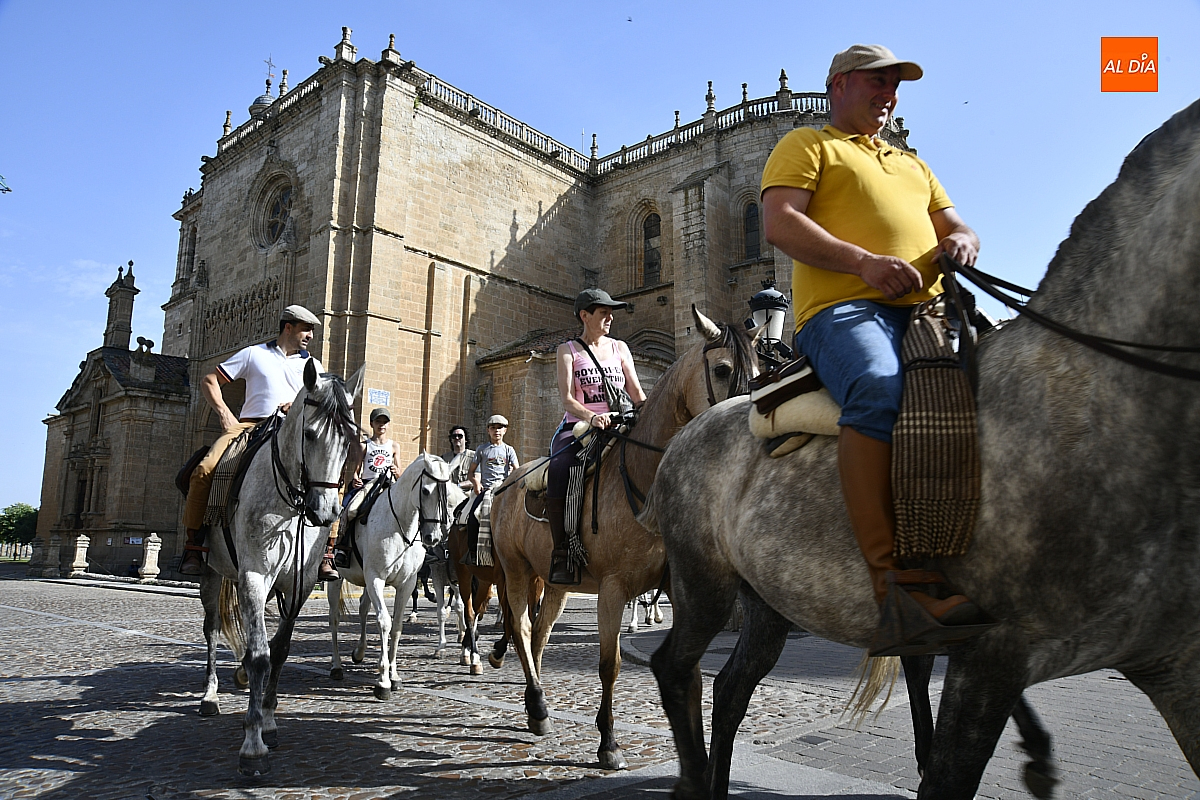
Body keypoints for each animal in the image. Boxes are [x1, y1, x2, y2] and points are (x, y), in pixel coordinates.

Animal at [196, 358, 363, 777]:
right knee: (212, 629)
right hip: (211, 573)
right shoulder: (253, 576)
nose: (325, 511)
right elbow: (260, 655)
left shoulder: (298, 584)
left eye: (350, 440)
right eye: (309, 433)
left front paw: (269, 719)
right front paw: (252, 743)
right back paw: (210, 696)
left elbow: (281, 648)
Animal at [324, 453, 464, 698]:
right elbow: (384, 622)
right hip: (337, 579)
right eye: (425, 491)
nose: (433, 537)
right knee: (334, 619)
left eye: (446, 492)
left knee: (363, 608)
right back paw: (337, 666)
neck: (401, 526)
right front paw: (383, 681)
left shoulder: (406, 583)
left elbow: (397, 625)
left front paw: (394, 675)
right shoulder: (376, 579)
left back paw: (359, 652)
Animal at [490, 305, 759, 770]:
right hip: (516, 571)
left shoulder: (677, 587)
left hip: (556, 581)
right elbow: (609, 665)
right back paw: (538, 703)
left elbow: (688, 668)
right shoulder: (613, 589)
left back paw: (534, 707)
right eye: (723, 369)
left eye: (761, 371)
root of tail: (508, 482)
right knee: (522, 629)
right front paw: (608, 742)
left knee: (540, 632)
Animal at [641, 98, 1200, 800]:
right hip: (703, 583)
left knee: (730, 686)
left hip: (767, 601)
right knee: (675, 667)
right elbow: (944, 770)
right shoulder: (988, 656)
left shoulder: (1174, 662)